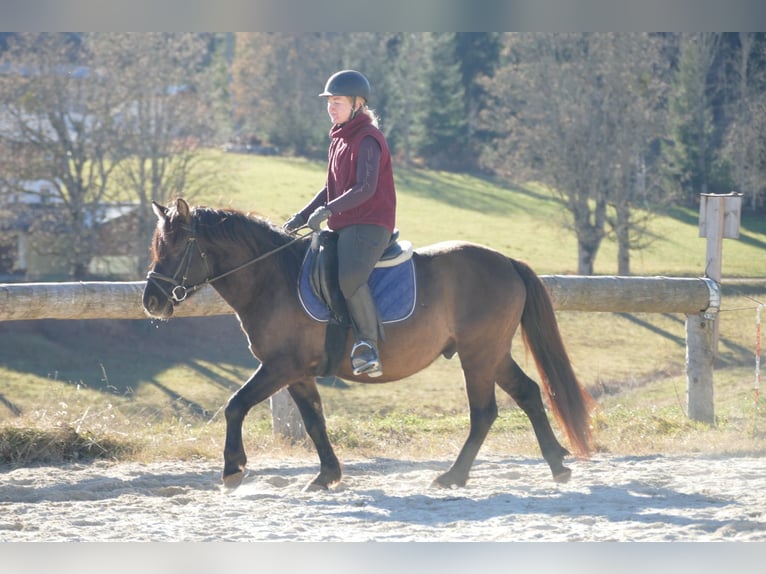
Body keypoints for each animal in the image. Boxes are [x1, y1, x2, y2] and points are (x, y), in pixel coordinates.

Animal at [146, 198, 600, 490]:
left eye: (173, 248)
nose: (151, 301)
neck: (272, 278)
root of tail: (506, 261)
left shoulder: (280, 366)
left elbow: (235, 405)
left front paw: (232, 469)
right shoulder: (297, 373)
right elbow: (314, 421)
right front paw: (327, 475)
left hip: (478, 355)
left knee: (485, 412)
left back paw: (454, 476)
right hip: (492, 354)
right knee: (528, 394)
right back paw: (556, 464)